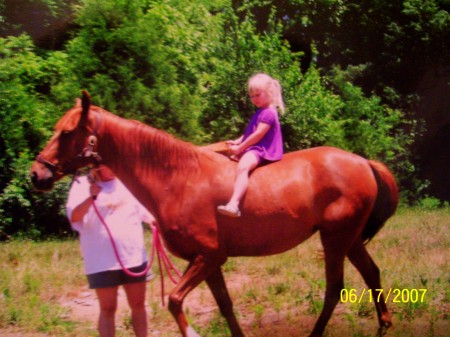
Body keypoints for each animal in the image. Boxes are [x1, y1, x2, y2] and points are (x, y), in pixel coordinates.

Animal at [30, 91, 398, 336]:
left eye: (66, 132)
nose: (37, 174)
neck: (179, 178)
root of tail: (363, 161)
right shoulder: (210, 263)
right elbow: (225, 306)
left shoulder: (207, 257)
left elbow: (174, 301)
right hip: (349, 239)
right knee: (372, 274)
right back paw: (384, 325)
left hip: (335, 240)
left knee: (334, 288)